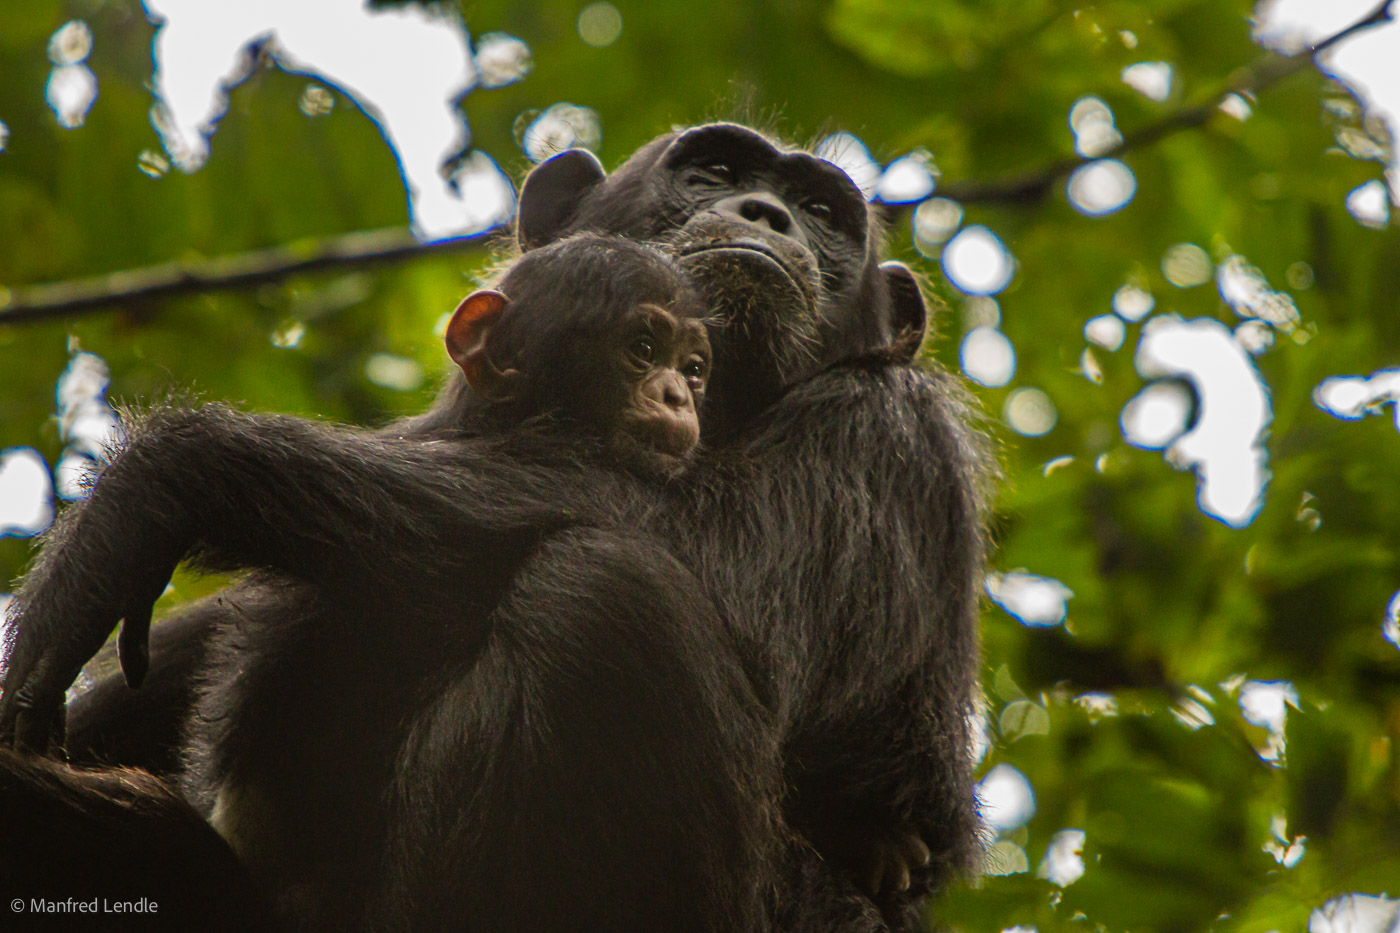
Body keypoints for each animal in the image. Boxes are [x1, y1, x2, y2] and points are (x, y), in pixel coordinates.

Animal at [0, 123, 991, 930]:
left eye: (821, 211)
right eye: (714, 171)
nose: (768, 212)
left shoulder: (887, 435)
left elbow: (716, 564)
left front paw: (163, 479)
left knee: (612, 591)